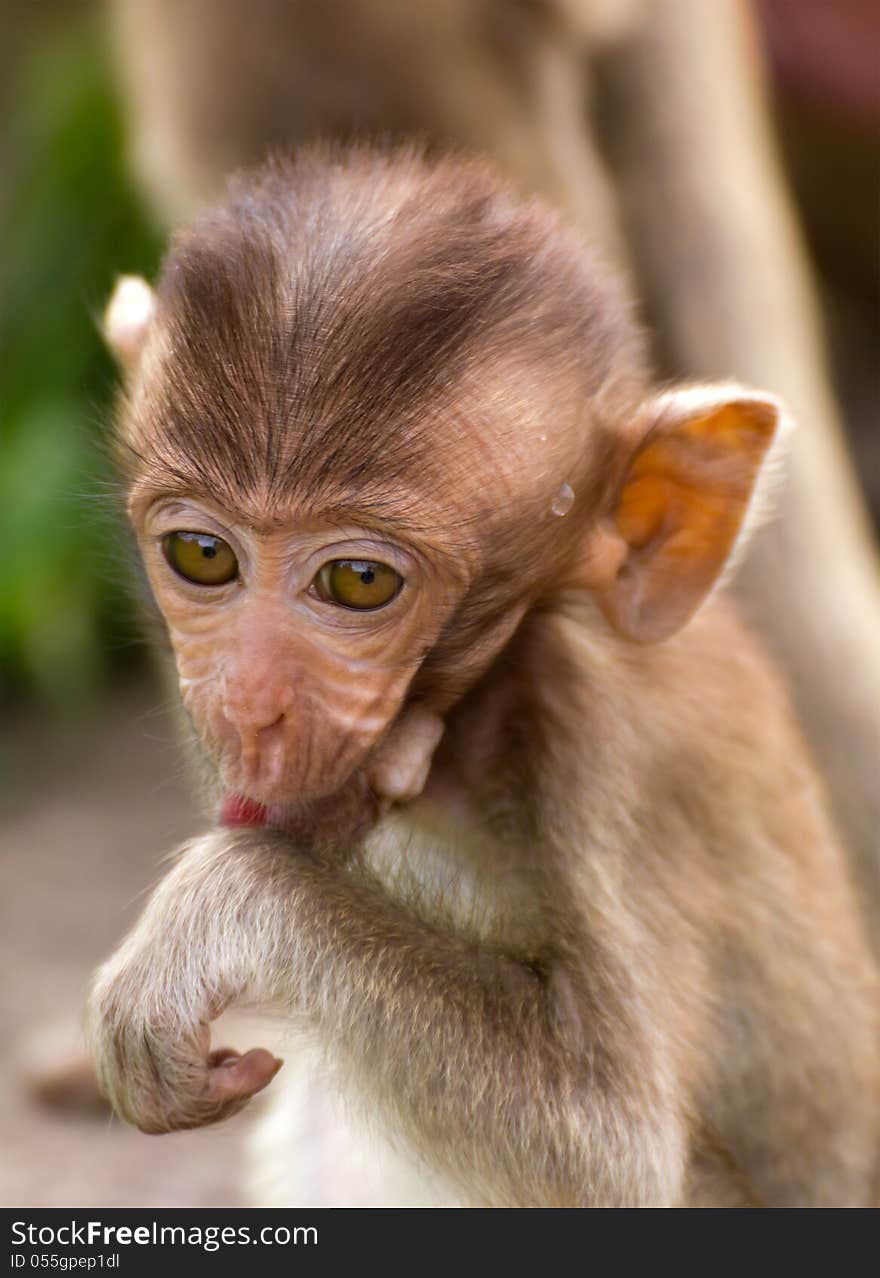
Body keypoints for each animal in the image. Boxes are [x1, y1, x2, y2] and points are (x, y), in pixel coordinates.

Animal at [85, 145, 873, 1201]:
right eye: (203, 556)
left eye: (359, 580)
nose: (249, 710)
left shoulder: (606, 747)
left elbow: (612, 1150)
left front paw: (219, 911)